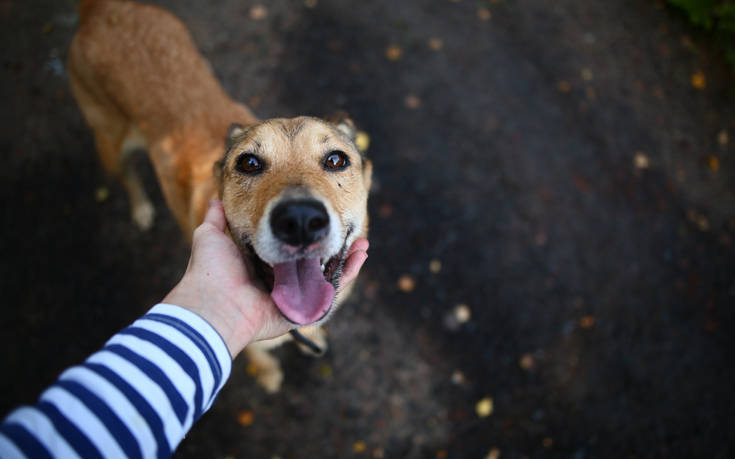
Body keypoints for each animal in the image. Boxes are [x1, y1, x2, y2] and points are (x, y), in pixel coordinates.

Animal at [67, 0, 374, 396]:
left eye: (336, 160)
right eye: (249, 163)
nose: (300, 221)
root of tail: (102, 8)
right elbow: (260, 359)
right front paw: (270, 375)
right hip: (109, 142)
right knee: (127, 176)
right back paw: (141, 208)